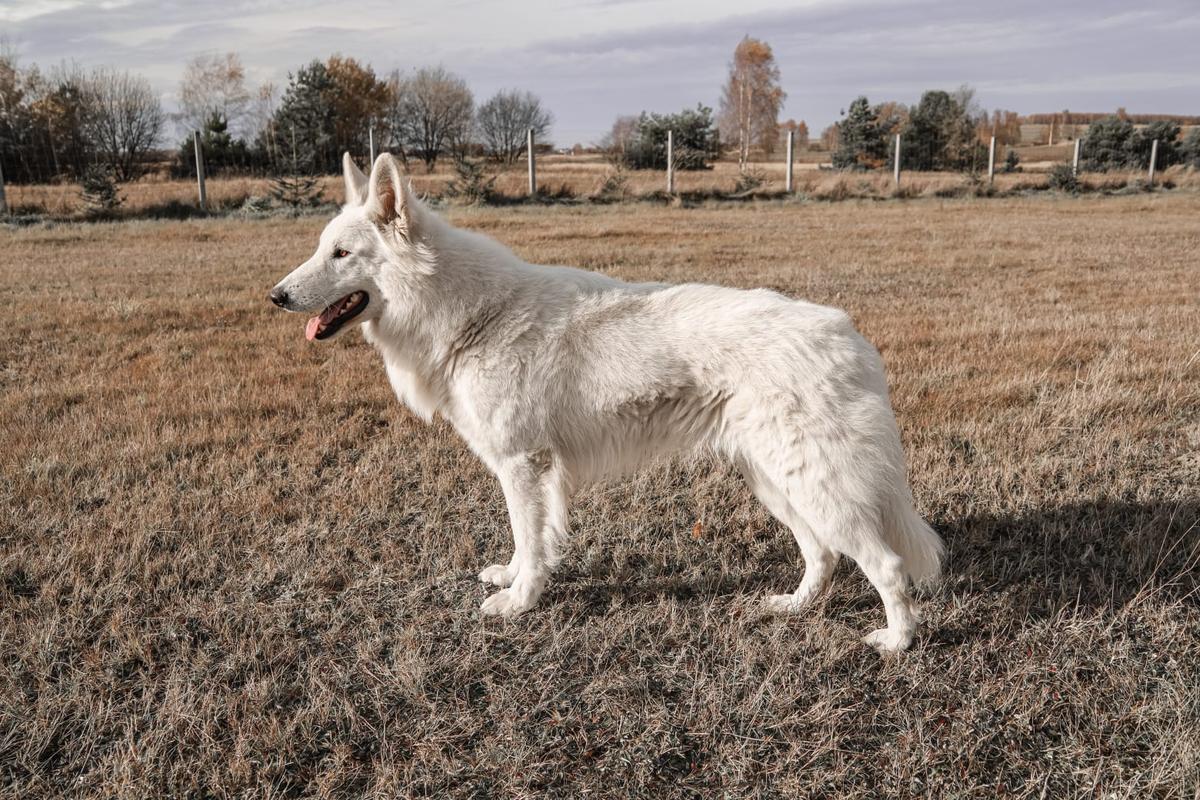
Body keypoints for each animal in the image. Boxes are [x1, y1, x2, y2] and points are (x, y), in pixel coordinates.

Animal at [272, 153, 945, 652]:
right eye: (321, 248)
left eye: (341, 254)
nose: (275, 297)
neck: (471, 316)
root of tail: (849, 335)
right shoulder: (527, 472)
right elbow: (527, 541)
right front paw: (513, 578)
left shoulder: (524, 468)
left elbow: (531, 539)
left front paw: (518, 602)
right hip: (775, 483)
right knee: (823, 553)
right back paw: (794, 607)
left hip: (815, 485)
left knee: (885, 565)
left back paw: (896, 641)